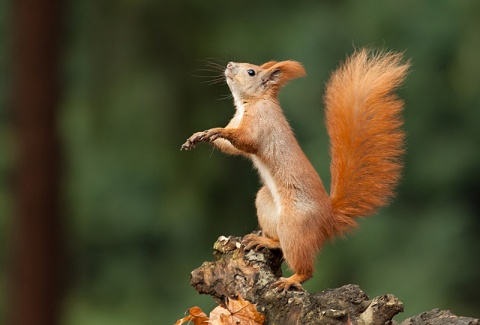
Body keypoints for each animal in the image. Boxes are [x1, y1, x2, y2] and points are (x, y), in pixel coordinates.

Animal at [180, 49, 408, 290]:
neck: (251, 102)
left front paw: (216, 131)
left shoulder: (261, 124)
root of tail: (327, 220)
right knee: (278, 241)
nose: (230, 64)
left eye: (251, 72)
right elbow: (230, 147)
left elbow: (245, 141)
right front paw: (200, 135)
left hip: (294, 226)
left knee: (305, 268)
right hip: (266, 204)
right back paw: (264, 240)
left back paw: (291, 280)